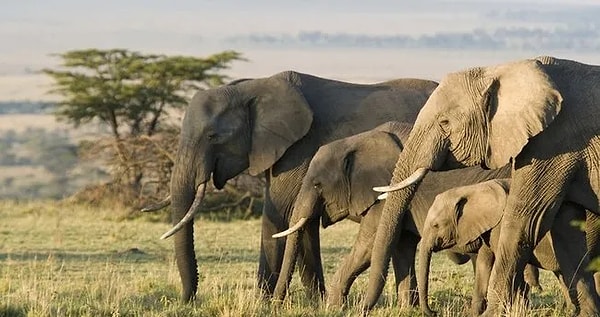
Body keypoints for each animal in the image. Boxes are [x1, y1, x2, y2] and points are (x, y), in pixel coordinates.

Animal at [142, 71, 438, 302]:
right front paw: (315, 303)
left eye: (213, 136)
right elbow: (301, 221)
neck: (251, 87)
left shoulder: (299, 149)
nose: (187, 300)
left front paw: (262, 303)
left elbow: (281, 213)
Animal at [270, 119, 510, 306]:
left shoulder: (385, 194)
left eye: (318, 185)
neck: (357, 140)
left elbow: (369, 246)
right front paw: (407, 308)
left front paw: (334, 307)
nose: (275, 304)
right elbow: (401, 246)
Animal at [418, 179, 600, 314]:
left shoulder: (502, 224)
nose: (434, 312)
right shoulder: (489, 227)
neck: (473, 189)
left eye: (435, 225)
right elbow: (484, 263)